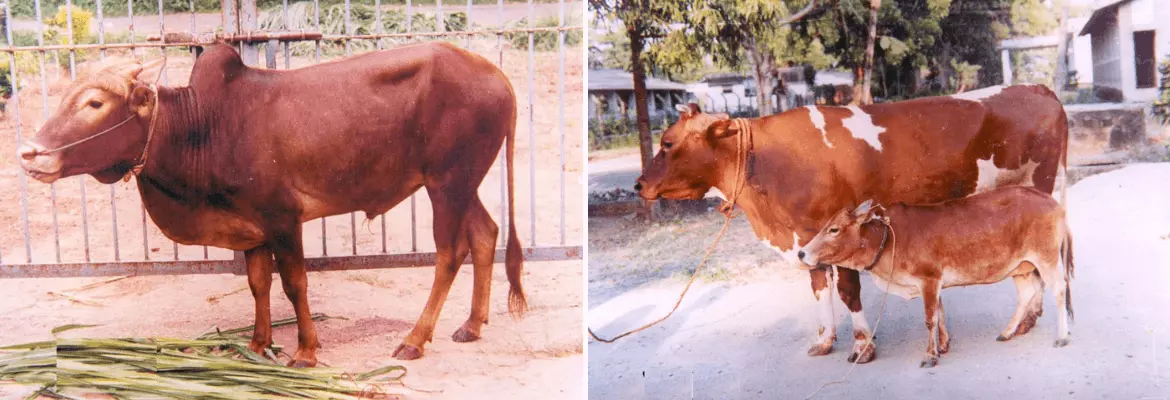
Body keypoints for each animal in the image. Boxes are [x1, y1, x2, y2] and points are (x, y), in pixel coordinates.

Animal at [17, 42, 526, 366]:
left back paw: (416, 340)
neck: (205, 128)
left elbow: (295, 285)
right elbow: (258, 285)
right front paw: (258, 345)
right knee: (486, 234)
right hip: (462, 182)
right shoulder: (252, 230)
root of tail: (498, 76)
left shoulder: (283, 219)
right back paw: (472, 324)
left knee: (450, 254)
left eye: (94, 103)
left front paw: (305, 351)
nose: (30, 153)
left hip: (447, 183)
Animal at [796, 187, 1075, 368]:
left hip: (1047, 258)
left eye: (834, 229)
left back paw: (1062, 337)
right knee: (1027, 293)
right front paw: (943, 347)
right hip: (1021, 267)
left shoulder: (928, 279)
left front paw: (930, 356)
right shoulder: (934, 282)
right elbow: (939, 314)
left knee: (1059, 289)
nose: (801, 253)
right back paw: (1006, 332)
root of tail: (1054, 203)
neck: (888, 239)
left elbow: (930, 319)